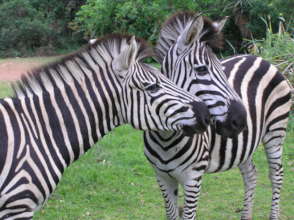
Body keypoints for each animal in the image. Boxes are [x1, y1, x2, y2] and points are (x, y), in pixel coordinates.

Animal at [143, 12, 292, 220]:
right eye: (201, 69)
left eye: (222, 70)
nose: (241, 119)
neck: (167, 137)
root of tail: (260, 59)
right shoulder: (162, 177)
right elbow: (171, 214)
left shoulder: (193, 178)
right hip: (243, 147)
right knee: (251, 174)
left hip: (276, 131)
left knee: (276, 175)